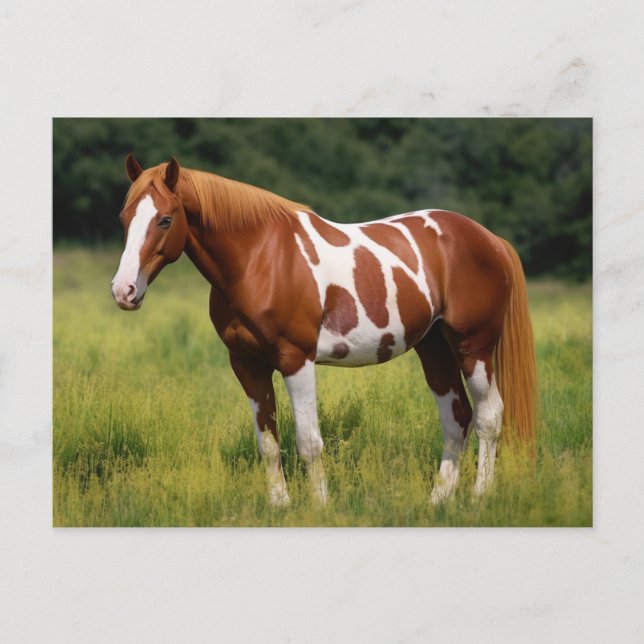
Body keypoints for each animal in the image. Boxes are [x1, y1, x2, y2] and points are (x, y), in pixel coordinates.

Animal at [111, 154, 537, 507]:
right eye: (124, 217)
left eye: (165, 219)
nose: (123, 291)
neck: (260, 259)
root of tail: (490, 239)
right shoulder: (247, 364)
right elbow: (268, 443)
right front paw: (279, 506)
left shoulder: (296, 359)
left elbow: (308, 441)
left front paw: (319, 506)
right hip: (433, 347)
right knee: (457, 418)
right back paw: (438, 500)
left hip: (472, 346)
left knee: (488, 416)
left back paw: (480, 496)